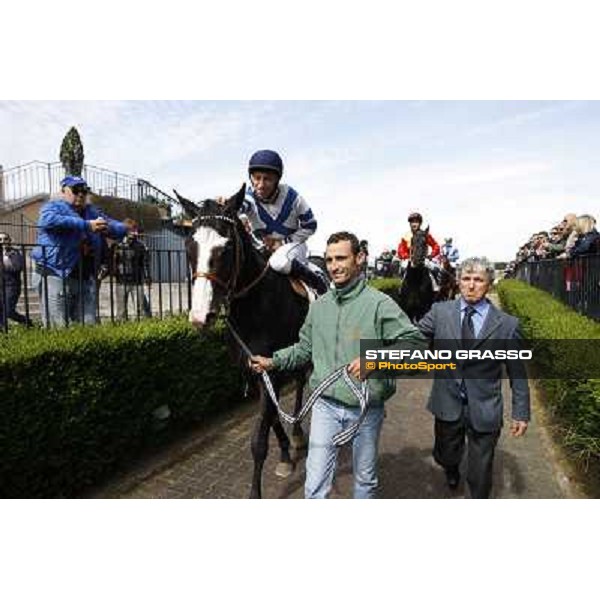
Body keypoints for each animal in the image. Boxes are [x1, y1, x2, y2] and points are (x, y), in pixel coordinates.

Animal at [176, 185, 310, 500]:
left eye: (225, 249)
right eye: (189, 248)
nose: (200, 316)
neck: (257, 306)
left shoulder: (271, 370)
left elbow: (259, 439)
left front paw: (256, 491)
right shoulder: (253, 370)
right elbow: (271, 419)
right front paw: (285, 456)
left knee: (302, 382)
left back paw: (300, 433)